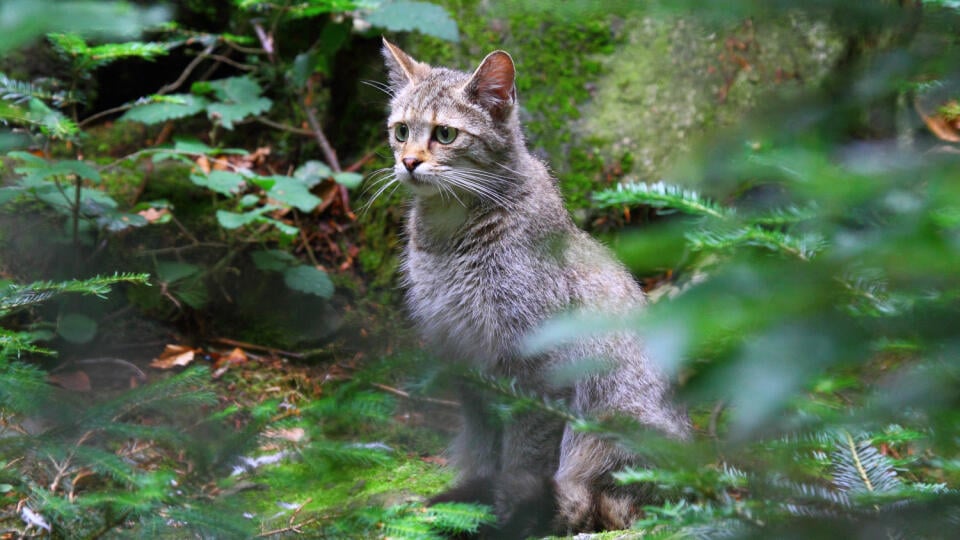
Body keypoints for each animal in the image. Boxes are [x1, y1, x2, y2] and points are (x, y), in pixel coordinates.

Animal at [376, 37, 688, 536]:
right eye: (401, 130)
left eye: (445, 135)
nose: (407, 162)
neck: (449, 235)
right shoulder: (464, 363)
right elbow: (484, 449)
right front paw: (471, 502)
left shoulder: (536, 370)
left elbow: (523, 459)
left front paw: (499, 507)